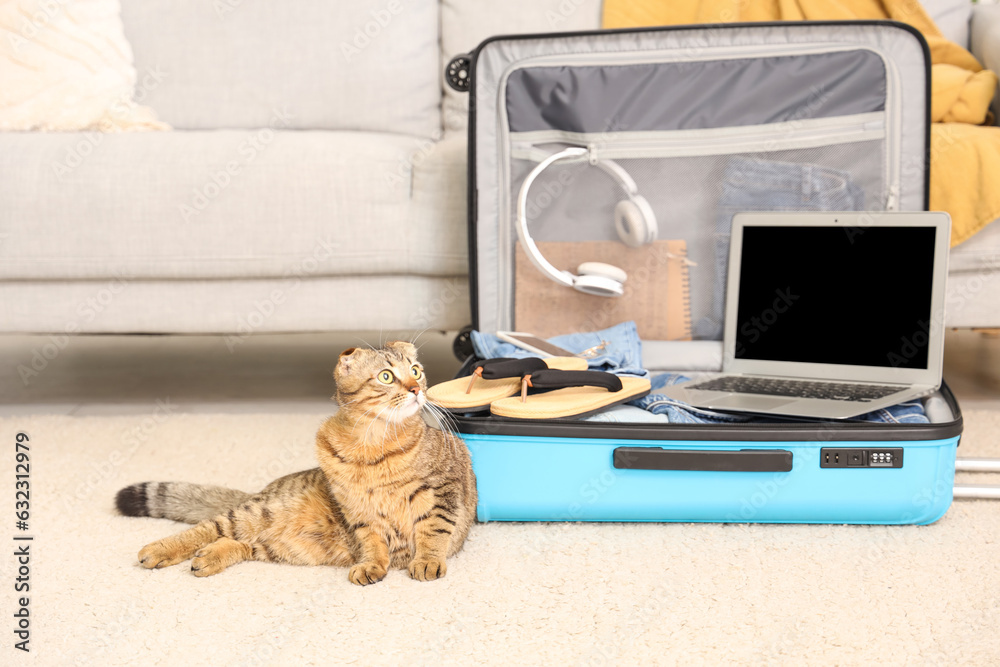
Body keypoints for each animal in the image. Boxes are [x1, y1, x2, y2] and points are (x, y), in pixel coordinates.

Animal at [117, 344, 476, 584]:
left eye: (416, 371)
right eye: (386, 376)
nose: (416, 389)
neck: (372, 443)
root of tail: (261, 492)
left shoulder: (444, 491)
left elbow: (433, 530)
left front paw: (426, 561)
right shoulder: (359, 512)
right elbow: (373, 542)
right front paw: (373, 564)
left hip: (282, 546)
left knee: (236, 543)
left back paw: (207, 558)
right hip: (257, 514)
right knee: (208, 529)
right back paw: (159, 550)